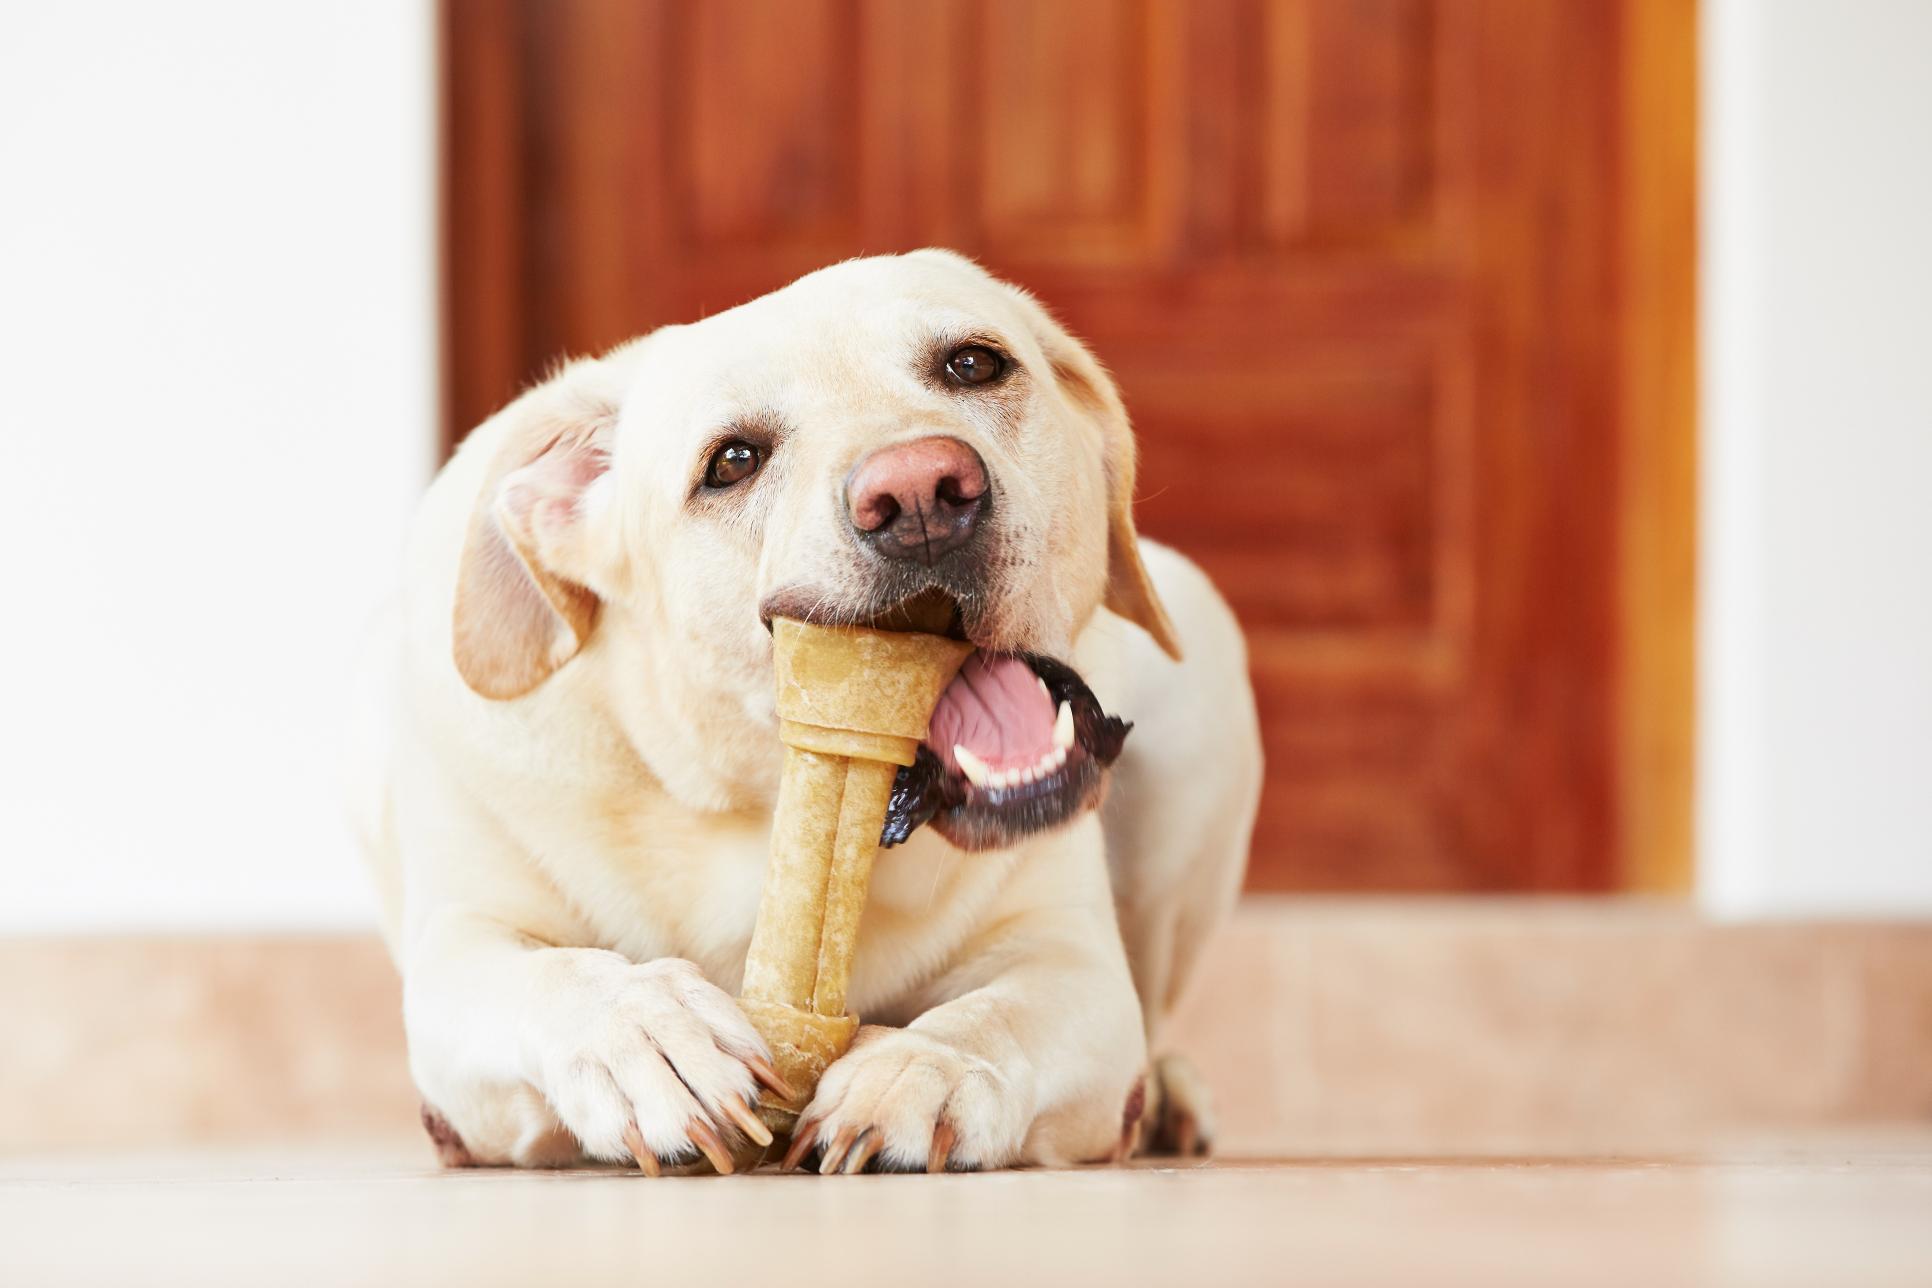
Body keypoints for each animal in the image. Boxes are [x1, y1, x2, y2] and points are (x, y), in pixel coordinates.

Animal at [347, 251, 1259, 1181]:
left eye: (974, 364)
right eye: (731, 461)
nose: (921, 492)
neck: (752, 802)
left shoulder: (1070, 960)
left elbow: (995, 1014)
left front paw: (921, 1070)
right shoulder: (460, 948)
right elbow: (553, 975)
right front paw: (645, 1033)